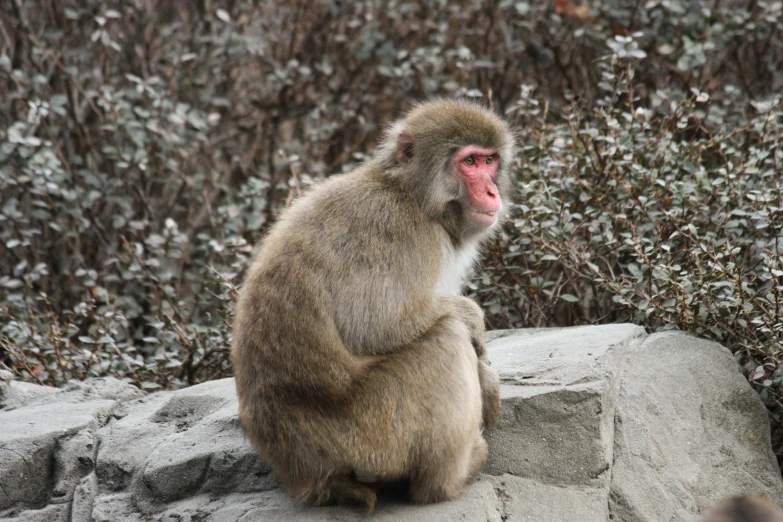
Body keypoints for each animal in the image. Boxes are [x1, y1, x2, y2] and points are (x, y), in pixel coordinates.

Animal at [233, 99, 516, 510]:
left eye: (490, 160)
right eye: (470, 162)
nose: (493, 192)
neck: (412, 196)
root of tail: (309, 478)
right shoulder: (397, 230)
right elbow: (377, 325)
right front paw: (474, 325)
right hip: (371, 434)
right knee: (445, 339)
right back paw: (450, 478)